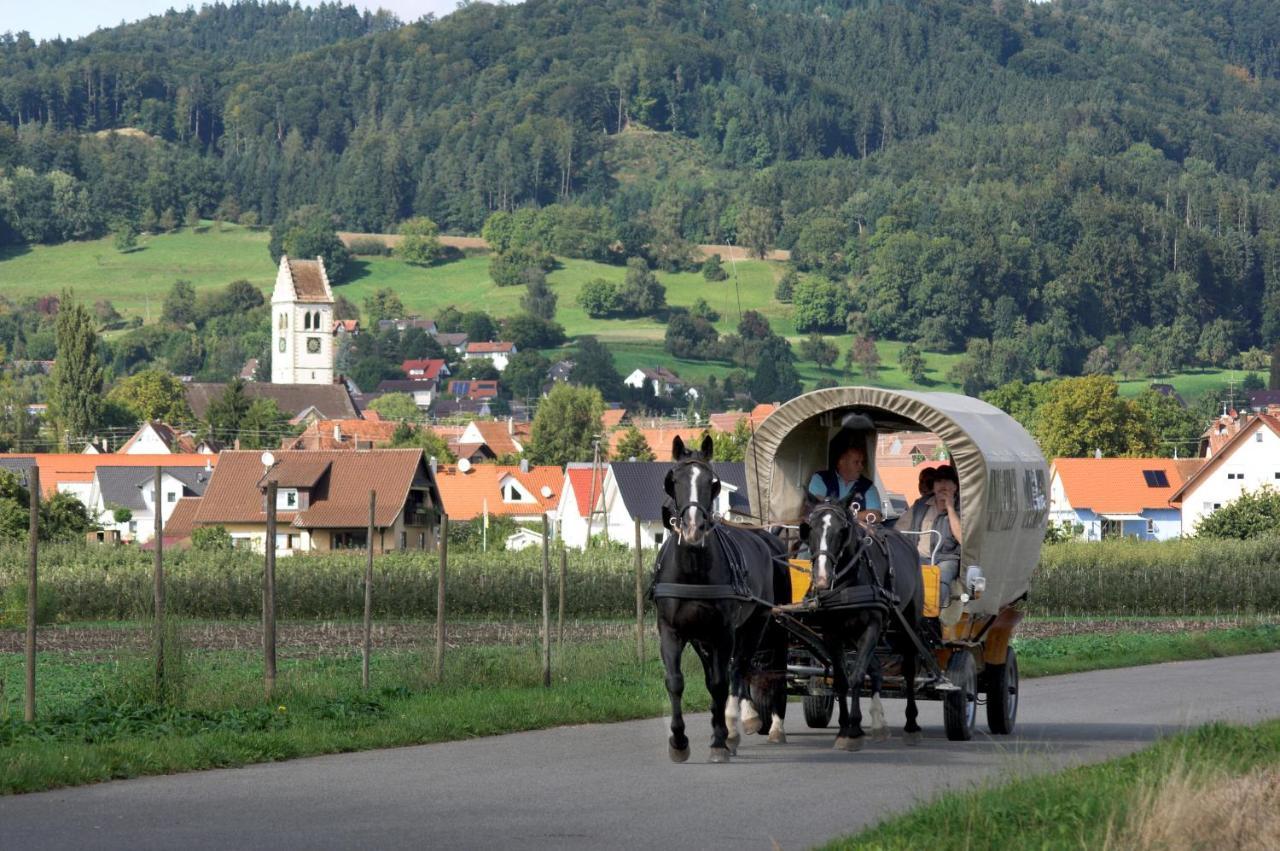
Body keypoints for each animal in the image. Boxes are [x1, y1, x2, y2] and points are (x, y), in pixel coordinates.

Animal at [660, 435, 788, 757]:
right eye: (673, 480)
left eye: (713, 483)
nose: (693, 529)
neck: (693, 569)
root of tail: (767, 536)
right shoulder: (672, 630)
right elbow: (677, 681)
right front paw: (679, 740)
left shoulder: (723, 631)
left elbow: (722, 681)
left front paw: (722, 735)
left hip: (762, 623)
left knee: (747, 667)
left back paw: (758, 722)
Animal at [798, 499, 921, 752]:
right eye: (811, 529)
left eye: (841, 531)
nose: (822, 579)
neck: (846, 585)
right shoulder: (832, 634)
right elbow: (842, 680)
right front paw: (845, 727)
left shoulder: (871, 628)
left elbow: (856, 677)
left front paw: (853, 729)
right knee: (875, 669)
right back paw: (878, 723)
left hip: (908, 626)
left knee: (909, 671)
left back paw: (911, 724)